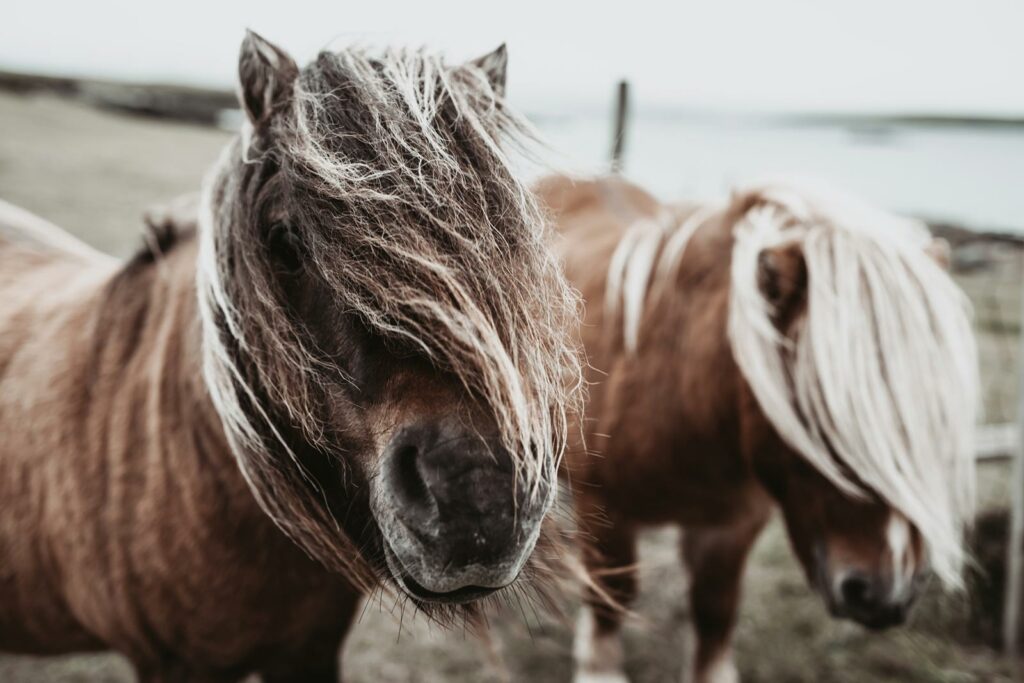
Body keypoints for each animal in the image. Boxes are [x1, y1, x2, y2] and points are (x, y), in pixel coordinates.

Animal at [536, 174, 974, 679]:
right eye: (817, 413)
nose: (887, 596)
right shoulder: (605, 511)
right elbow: (611, 600)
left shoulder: (731, 527)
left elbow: (715, 610)